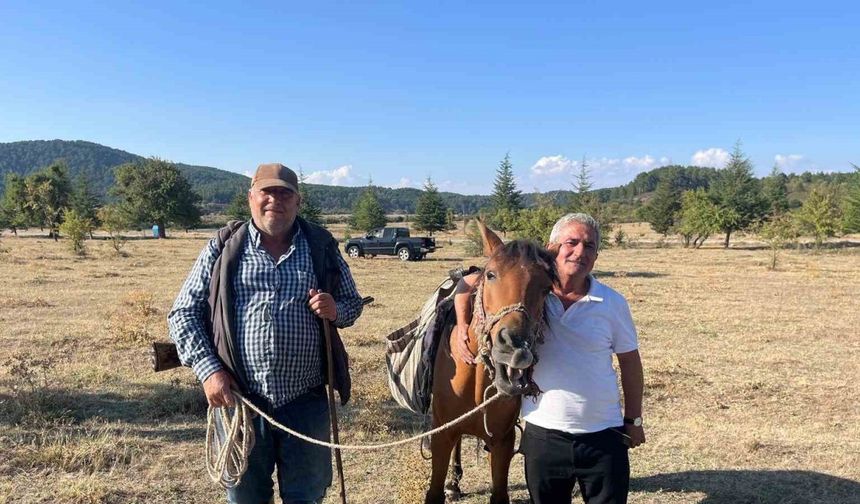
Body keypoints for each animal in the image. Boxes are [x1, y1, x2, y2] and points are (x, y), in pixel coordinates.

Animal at [424, 221, 556, 504]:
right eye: (492, 275)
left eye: (547, 288)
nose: (515, 347)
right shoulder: (441, 435)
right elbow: (434, 491)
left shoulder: (502, 441)